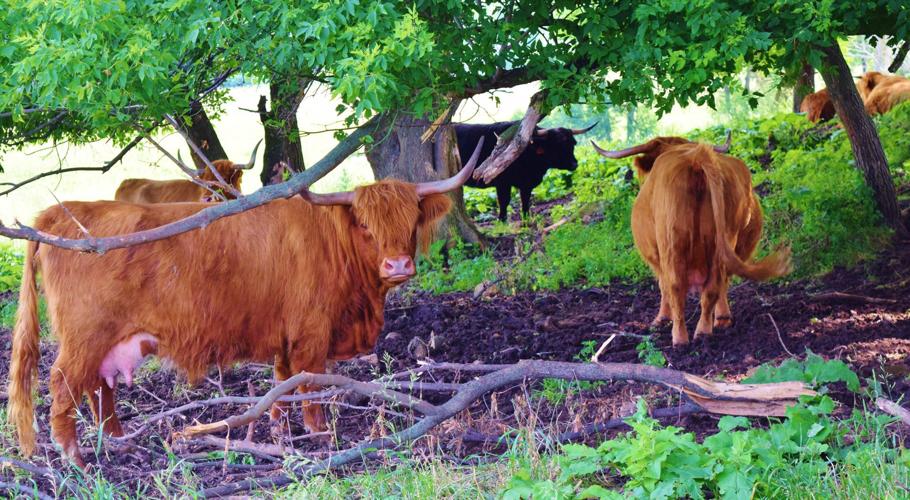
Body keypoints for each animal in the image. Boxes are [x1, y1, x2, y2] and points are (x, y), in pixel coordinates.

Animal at [455, 121, 596, 222]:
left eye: (572, 144)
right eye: (556, 145)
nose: (574, 164)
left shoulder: (526, 185)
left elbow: (525, 201)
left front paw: (526, 220)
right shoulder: (502, 183)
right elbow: (504, 201)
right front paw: (502, 222)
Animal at [592, 135, 791, 346]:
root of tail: (696, 157)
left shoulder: (657, 257)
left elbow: (663, 286)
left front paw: (661, 319)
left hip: (672, 243)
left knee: (675, 287)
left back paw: (680, 338)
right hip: (722, 241)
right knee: (715, 285)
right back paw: (710, 327)